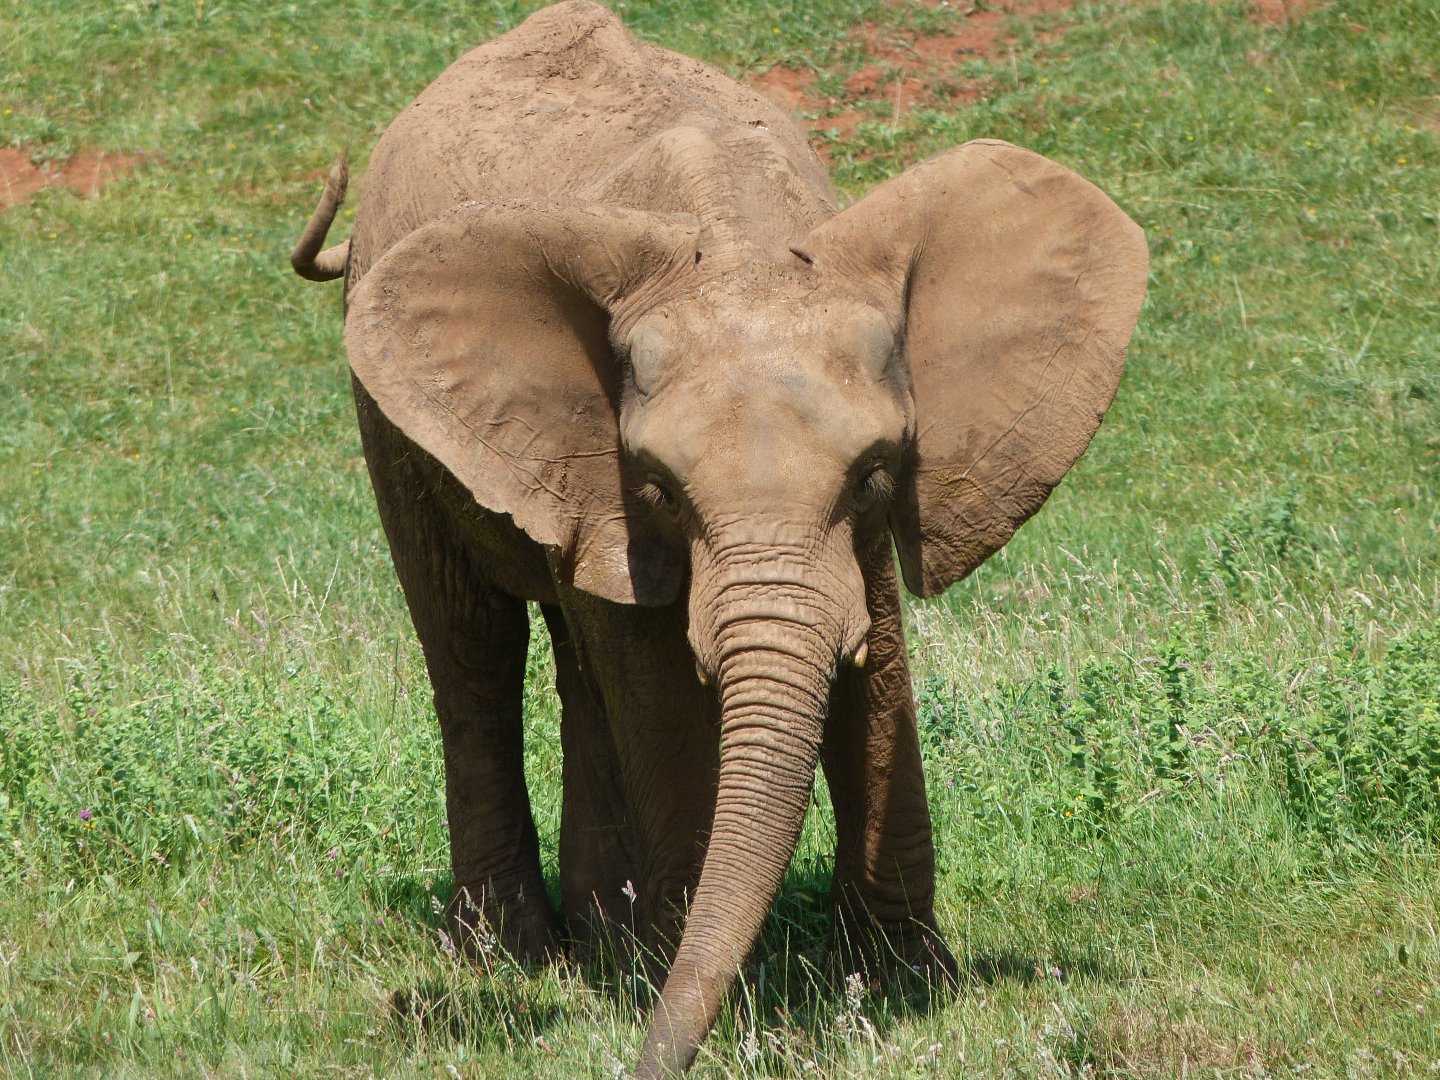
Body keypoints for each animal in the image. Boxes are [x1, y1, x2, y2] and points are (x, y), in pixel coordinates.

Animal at [290, 2, 1146, 1074]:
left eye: (873, 474)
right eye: (660, 487)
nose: (653, 1059)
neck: (739, 244)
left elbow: (879, 666)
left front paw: (903, 982)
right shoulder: (608, 475)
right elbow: (658, 685)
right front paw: (716, 996)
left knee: (573, 660)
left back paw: (605, 942)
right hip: (384, 413)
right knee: (472, 647)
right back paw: (520, 953)